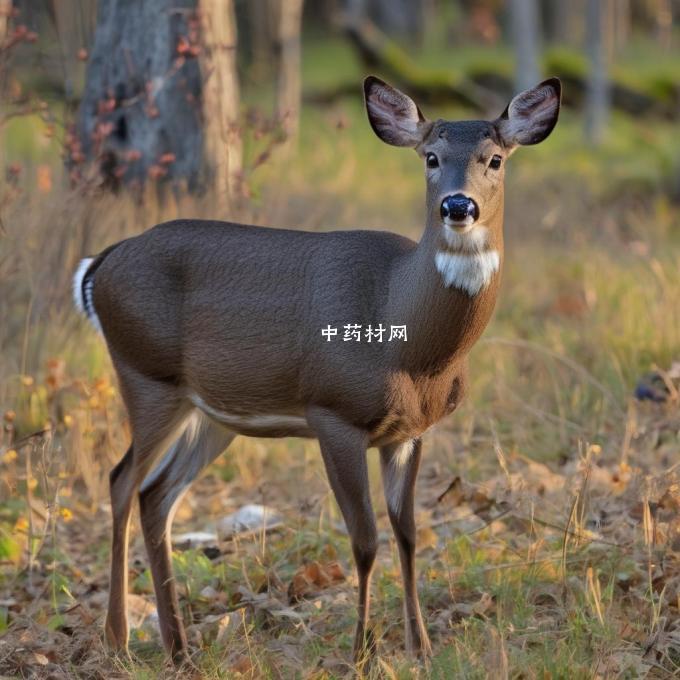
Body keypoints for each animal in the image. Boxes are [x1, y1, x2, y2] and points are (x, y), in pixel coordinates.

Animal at [73, 74, 564, 664]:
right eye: (431, 157)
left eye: (495, 159)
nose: (457, 205)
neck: (404, 335)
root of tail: (99, 266)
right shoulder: (334, 412)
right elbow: (365, 539)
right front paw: (361, 652)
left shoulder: (410, 431)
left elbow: (408, 534)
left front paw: (420, 647)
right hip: (147, 374)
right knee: (122, 480)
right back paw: (118, 638)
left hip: (209, 413)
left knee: (156, 495)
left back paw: (179, 647)